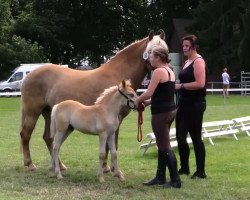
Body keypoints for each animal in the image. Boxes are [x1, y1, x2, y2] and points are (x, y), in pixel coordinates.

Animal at [19, 28, 168, 171]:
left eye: (165, 50)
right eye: (153, 51)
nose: (167, 65)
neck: (117, 75)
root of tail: (29, 75)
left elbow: (113, 145)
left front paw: (109, 167)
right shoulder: (115, 119)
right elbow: (110, 145)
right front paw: (107, 167)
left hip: (48, 113)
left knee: (49, 138)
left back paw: (59, 165)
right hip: (33, 112)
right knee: (26, 135)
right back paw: (30, 164)